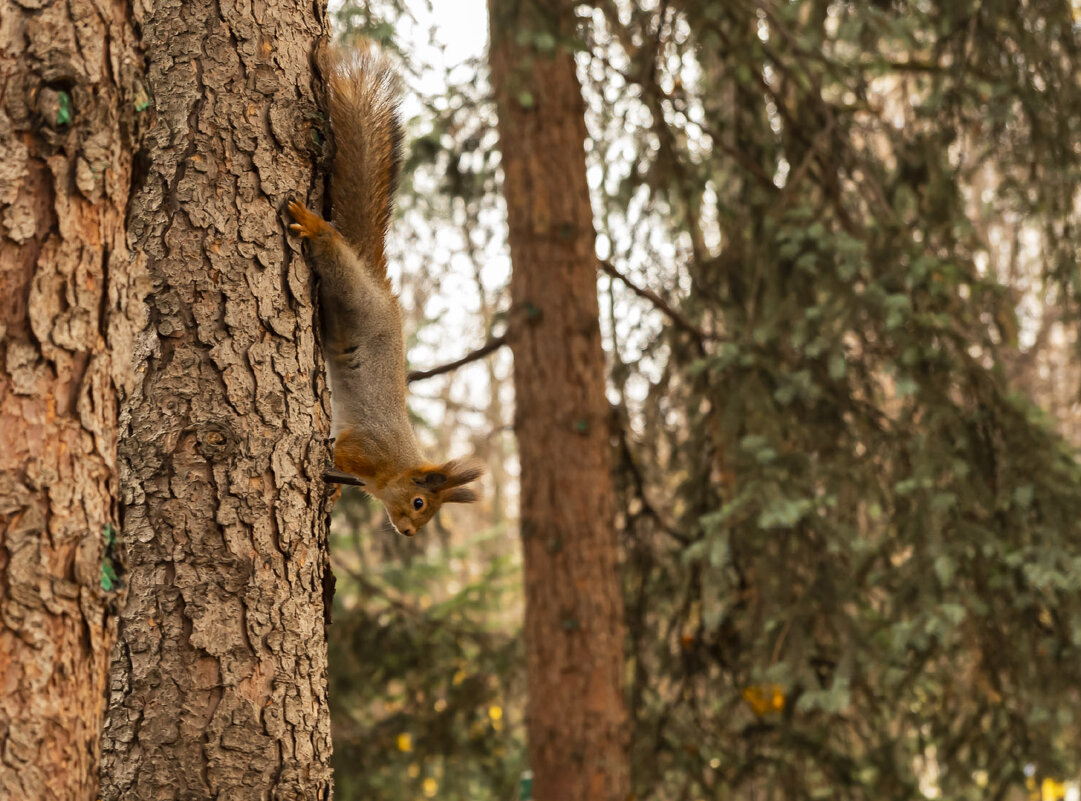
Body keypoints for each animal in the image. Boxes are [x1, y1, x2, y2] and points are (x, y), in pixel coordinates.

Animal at [291, 48, 486, 538]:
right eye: (419, 502)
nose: (410, 533)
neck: (396, 466)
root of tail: (381, 291)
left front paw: (333, 494)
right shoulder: (365, 447)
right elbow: (341, 452)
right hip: (356, 297)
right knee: (335, 259)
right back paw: (318, 229)